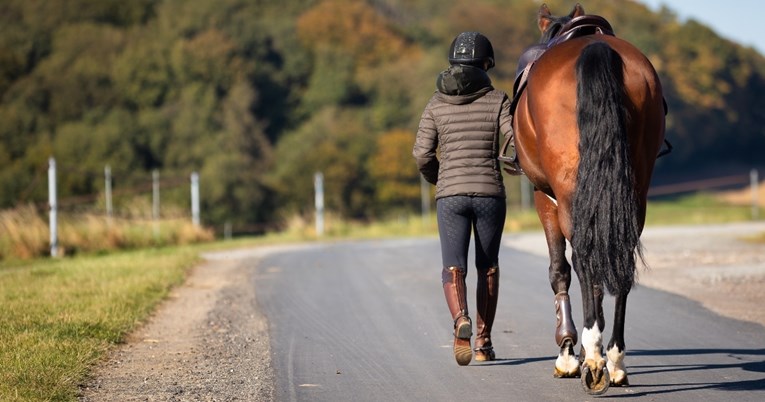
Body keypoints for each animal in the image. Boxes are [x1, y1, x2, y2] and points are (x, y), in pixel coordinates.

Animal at [510, 2, 664, 392]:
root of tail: (594, 48)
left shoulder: (544, 197)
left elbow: (560, 270)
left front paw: (568, 352)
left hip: (566, 195)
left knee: (581, 259)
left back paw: (592, 356)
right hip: (634, 191)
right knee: (621, 258)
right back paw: (615, 359)